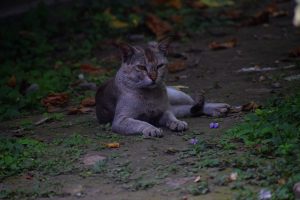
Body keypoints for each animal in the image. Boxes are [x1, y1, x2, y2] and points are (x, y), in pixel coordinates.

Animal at [96, 37, 230, 138]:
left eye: (159, 66)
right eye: (141, 67)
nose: (153, 77)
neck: (150, 95)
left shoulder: (163, 111)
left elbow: (170, 116)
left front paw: (177, 123)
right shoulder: (121, 119)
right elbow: (139, 122)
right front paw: (152, 129)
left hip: (176, 95)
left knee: (191, 103)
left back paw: (220, 107)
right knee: (189, 108)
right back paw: (219, 110)